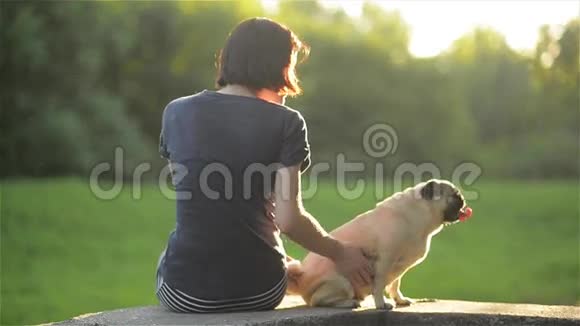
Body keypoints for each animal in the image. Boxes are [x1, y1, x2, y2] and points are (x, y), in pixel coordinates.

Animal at [286, 180, 472, 310]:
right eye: (454, 195)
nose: (463, 199)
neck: (419, 214)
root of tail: (302, 278)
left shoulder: (399, 268)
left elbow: (395, 285)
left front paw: (400, 300)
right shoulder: (385, 261)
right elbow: (380, 285)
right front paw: (381, 304)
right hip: (342, 282)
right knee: (316, 300)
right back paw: (349, 302)